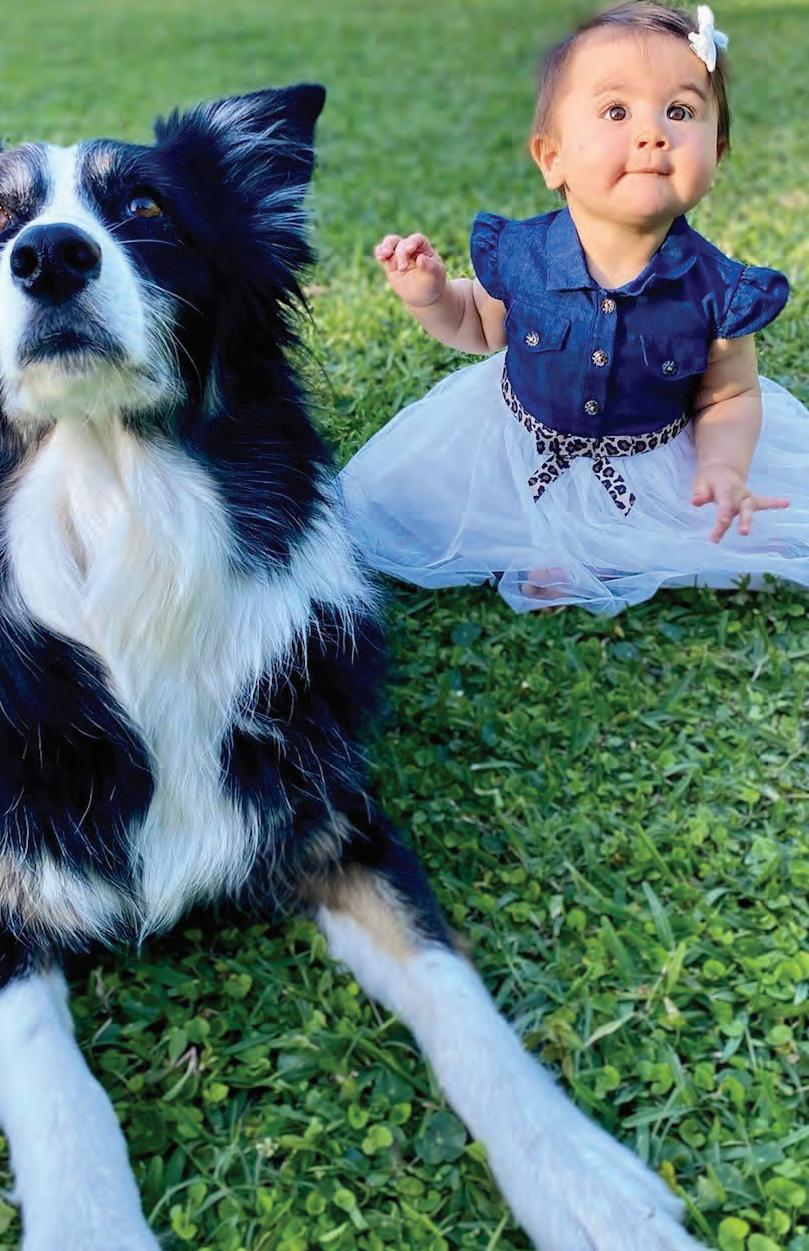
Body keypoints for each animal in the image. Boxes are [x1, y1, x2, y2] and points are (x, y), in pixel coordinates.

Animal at [0, 87, 706, 1251]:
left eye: (145, 207)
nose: (50, 256)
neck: (112, 510)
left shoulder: (330, 814)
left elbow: (452, 984)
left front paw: (581, 1182)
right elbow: (55, 1089)